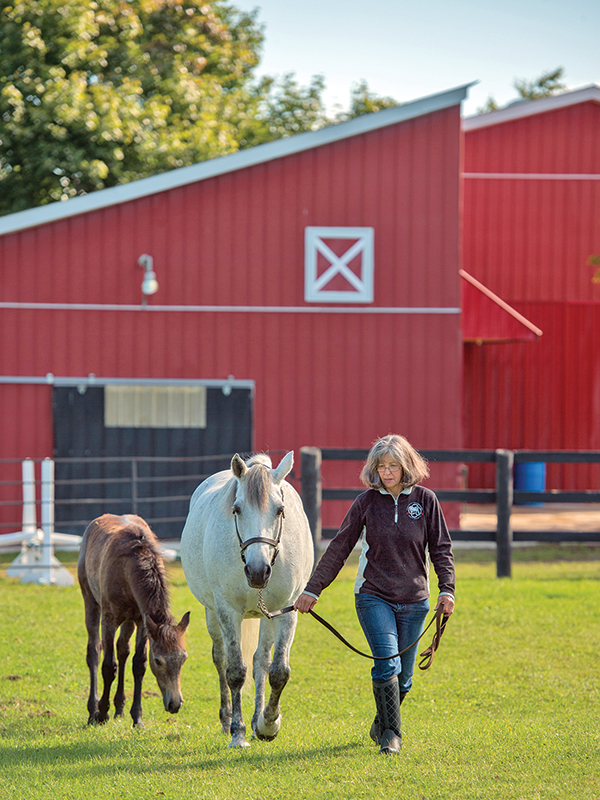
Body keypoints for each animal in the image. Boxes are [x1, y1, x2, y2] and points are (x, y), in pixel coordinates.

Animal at [77, 514, 190, 728]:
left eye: (183, 658)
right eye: (159, 660)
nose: (175, 704)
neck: (128, 568)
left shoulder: (142, 621)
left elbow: (139, 664)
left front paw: (137, 718)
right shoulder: (110, 618)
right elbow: (108, 665)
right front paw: (101, 713)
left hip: (128, 620)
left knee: (123, 649)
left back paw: (119, 708)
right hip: (90, 601)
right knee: (94, 650)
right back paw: (91, 710)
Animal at [180, 451, 314, 748]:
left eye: (280, 510)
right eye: (237, 509)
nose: (257, 571)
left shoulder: (287, 611)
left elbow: (278, 671)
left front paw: (268, 724)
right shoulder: (227, 611)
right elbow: (235, 671)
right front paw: (238, 733)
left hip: (268, 615)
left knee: (260, 661)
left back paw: (256, 722)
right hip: (211, 613)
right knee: (220, 658)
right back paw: (227, 720)